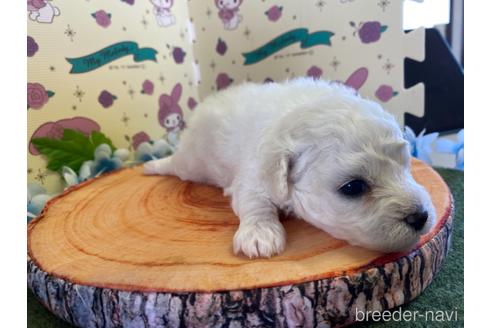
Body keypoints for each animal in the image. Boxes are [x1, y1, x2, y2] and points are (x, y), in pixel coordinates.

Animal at [144, 78, 436, 258]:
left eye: (406, 166)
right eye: (353, 187)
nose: (420, 216)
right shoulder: (252, 177)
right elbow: (254, 203)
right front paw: (260, 235)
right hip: (193, 161)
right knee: (177, 165)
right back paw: (151, 165)